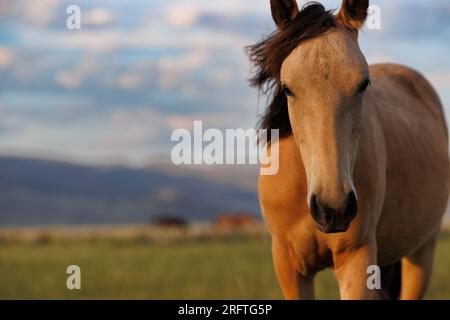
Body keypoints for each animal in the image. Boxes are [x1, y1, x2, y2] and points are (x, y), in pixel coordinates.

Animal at [248, 0, 448, 300]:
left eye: (363, 84)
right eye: (287, 88)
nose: (334, 209)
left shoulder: (357, 261)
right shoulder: (289, 266)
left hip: (422, 253)